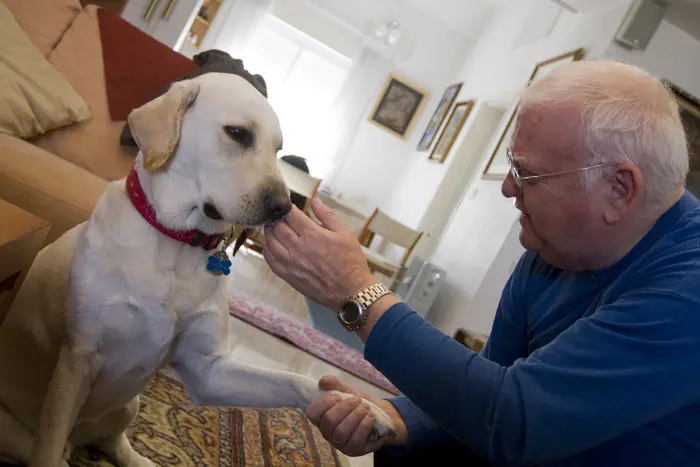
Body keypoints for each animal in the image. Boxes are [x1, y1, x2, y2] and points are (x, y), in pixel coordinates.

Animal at [0, 74, 394, 467]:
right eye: (238, 133)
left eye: (278, 149)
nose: (284, 207)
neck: (177, 241)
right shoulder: (77, 359)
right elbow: (48, 450)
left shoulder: (209, 370)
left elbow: (292, 379)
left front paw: (359, 407)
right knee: (57, 448)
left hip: (130, 404)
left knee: (112, 440)